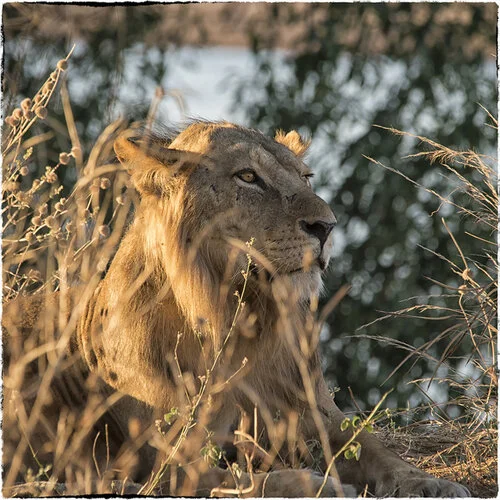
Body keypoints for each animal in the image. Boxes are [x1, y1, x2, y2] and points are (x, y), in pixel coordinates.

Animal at [3, 120, 470, 496]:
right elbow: (246, 480)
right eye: (248, 177)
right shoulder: (170, 460)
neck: (236, 316)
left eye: (306, 178)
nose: (327, 227)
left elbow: (376, 448)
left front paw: (431, 483)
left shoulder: (312, 410)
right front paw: (316, 484)